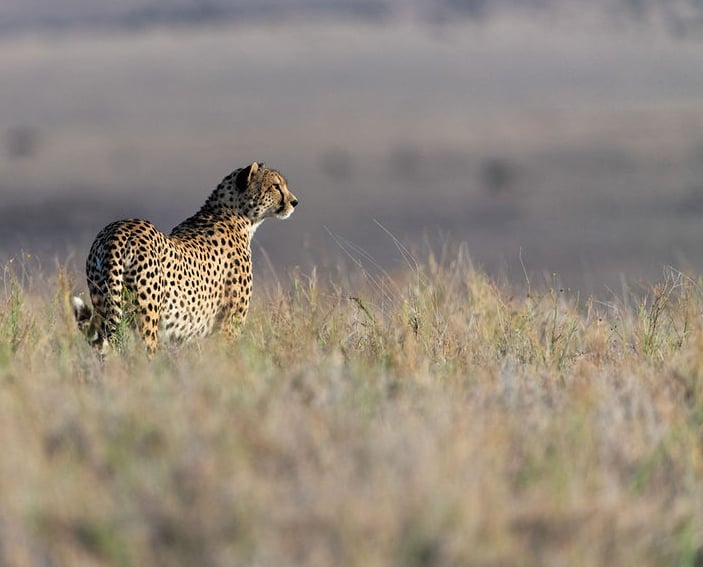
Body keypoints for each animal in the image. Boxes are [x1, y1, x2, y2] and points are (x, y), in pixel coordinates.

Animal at [72, 161, 298, 354]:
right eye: (276, 186)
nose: (295, 202)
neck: (237, 216)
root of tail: (118, 229)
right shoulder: (229, 325)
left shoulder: (188, 336)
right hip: (146, 320)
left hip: (103, 304)